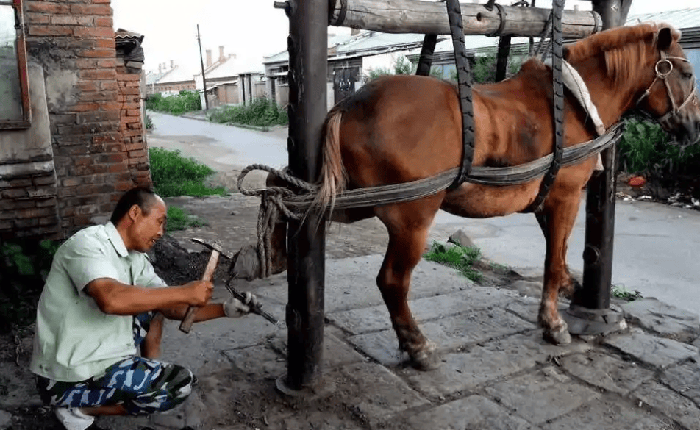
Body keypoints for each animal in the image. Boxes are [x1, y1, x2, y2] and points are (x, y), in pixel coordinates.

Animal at [266, 21, 696, 368]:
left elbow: (557, 254)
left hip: (353, 200)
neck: (574, 101)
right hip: (411, 219)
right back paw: (417, 345)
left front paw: (571, 286)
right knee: (392, 282)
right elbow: (552, 259)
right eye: (688, 72)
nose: (693, 129)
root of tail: (352, 104)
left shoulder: (546, 201)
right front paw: (553, 323)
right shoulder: (567, 196)